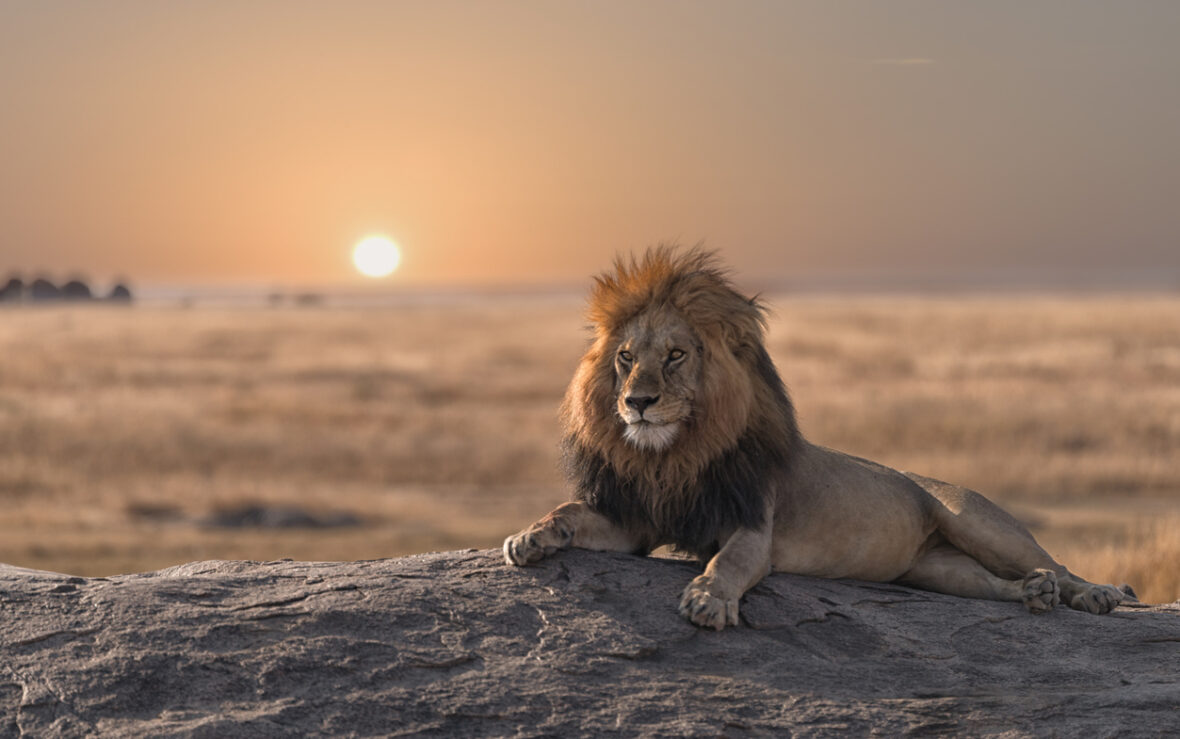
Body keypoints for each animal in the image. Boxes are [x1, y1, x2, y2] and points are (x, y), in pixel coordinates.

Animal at [500, 245, 1123, 628]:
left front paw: (707, 599)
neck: (675, 455)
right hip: (936, 570)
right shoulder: (638, 521)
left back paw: (1094, 593)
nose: (637, 402)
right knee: (996, 585)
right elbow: (571, 512)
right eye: (627, 358)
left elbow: (726, 563)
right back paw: (1033, 595)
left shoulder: (753, 527)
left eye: (675, 356)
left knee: (1055, 564)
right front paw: (531, 536)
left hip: (978, 522)